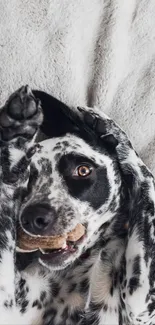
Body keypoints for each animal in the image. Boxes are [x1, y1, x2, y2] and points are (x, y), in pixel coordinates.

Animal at [0, 86, 154, 324]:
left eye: (83, 170)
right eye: (28, 177)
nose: (33, 218)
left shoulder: (141, 305)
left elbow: (146, 180)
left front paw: (114, 133)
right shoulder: (7, 305)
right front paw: (15, 141)